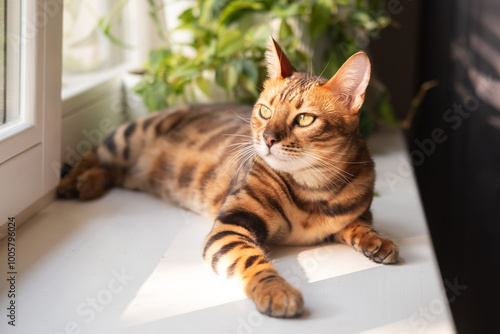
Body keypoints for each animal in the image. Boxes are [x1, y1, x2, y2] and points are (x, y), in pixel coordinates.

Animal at [56, 37, 398, 318]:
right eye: (264, 111)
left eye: (304, 119)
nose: (269, 139)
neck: (313, 190)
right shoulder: (232, 225)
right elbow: (252, 260)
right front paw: (276, 289)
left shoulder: (351, 213)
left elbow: (358, 224)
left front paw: (377, 240)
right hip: (127, 136)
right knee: (94, 154)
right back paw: (73, 183)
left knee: (114, 171)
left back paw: (90, 184)